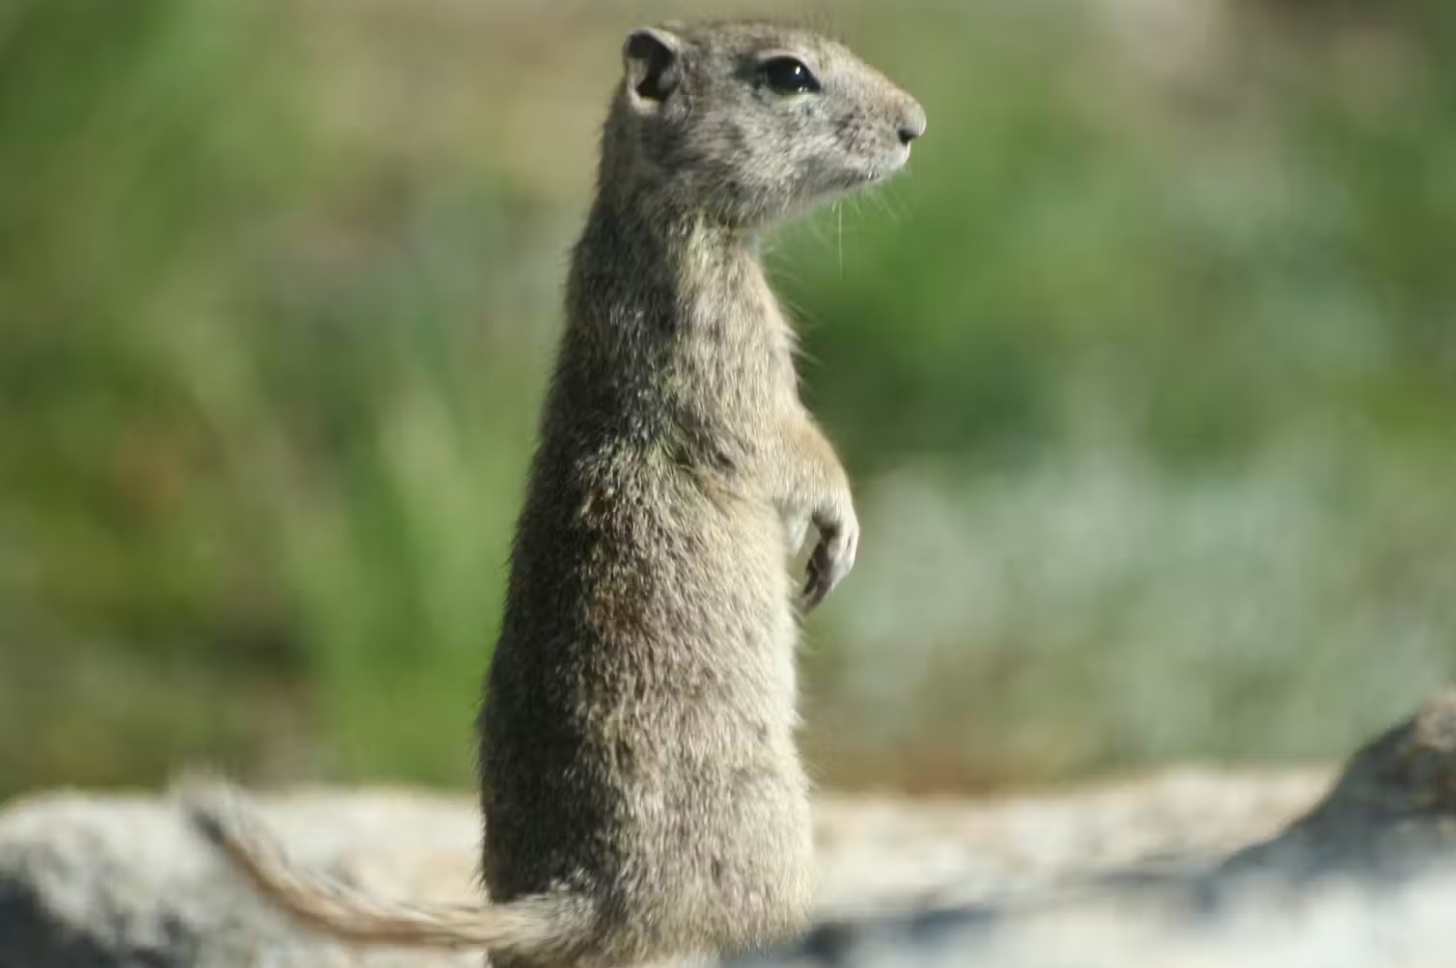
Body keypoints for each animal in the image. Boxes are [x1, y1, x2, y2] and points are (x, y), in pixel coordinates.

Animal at [187, 19, 924, 968]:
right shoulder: (730, 353)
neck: (648, 221)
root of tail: (580, 890)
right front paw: (839, 530)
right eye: (789, 74)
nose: (916, 125)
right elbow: (793, 448)